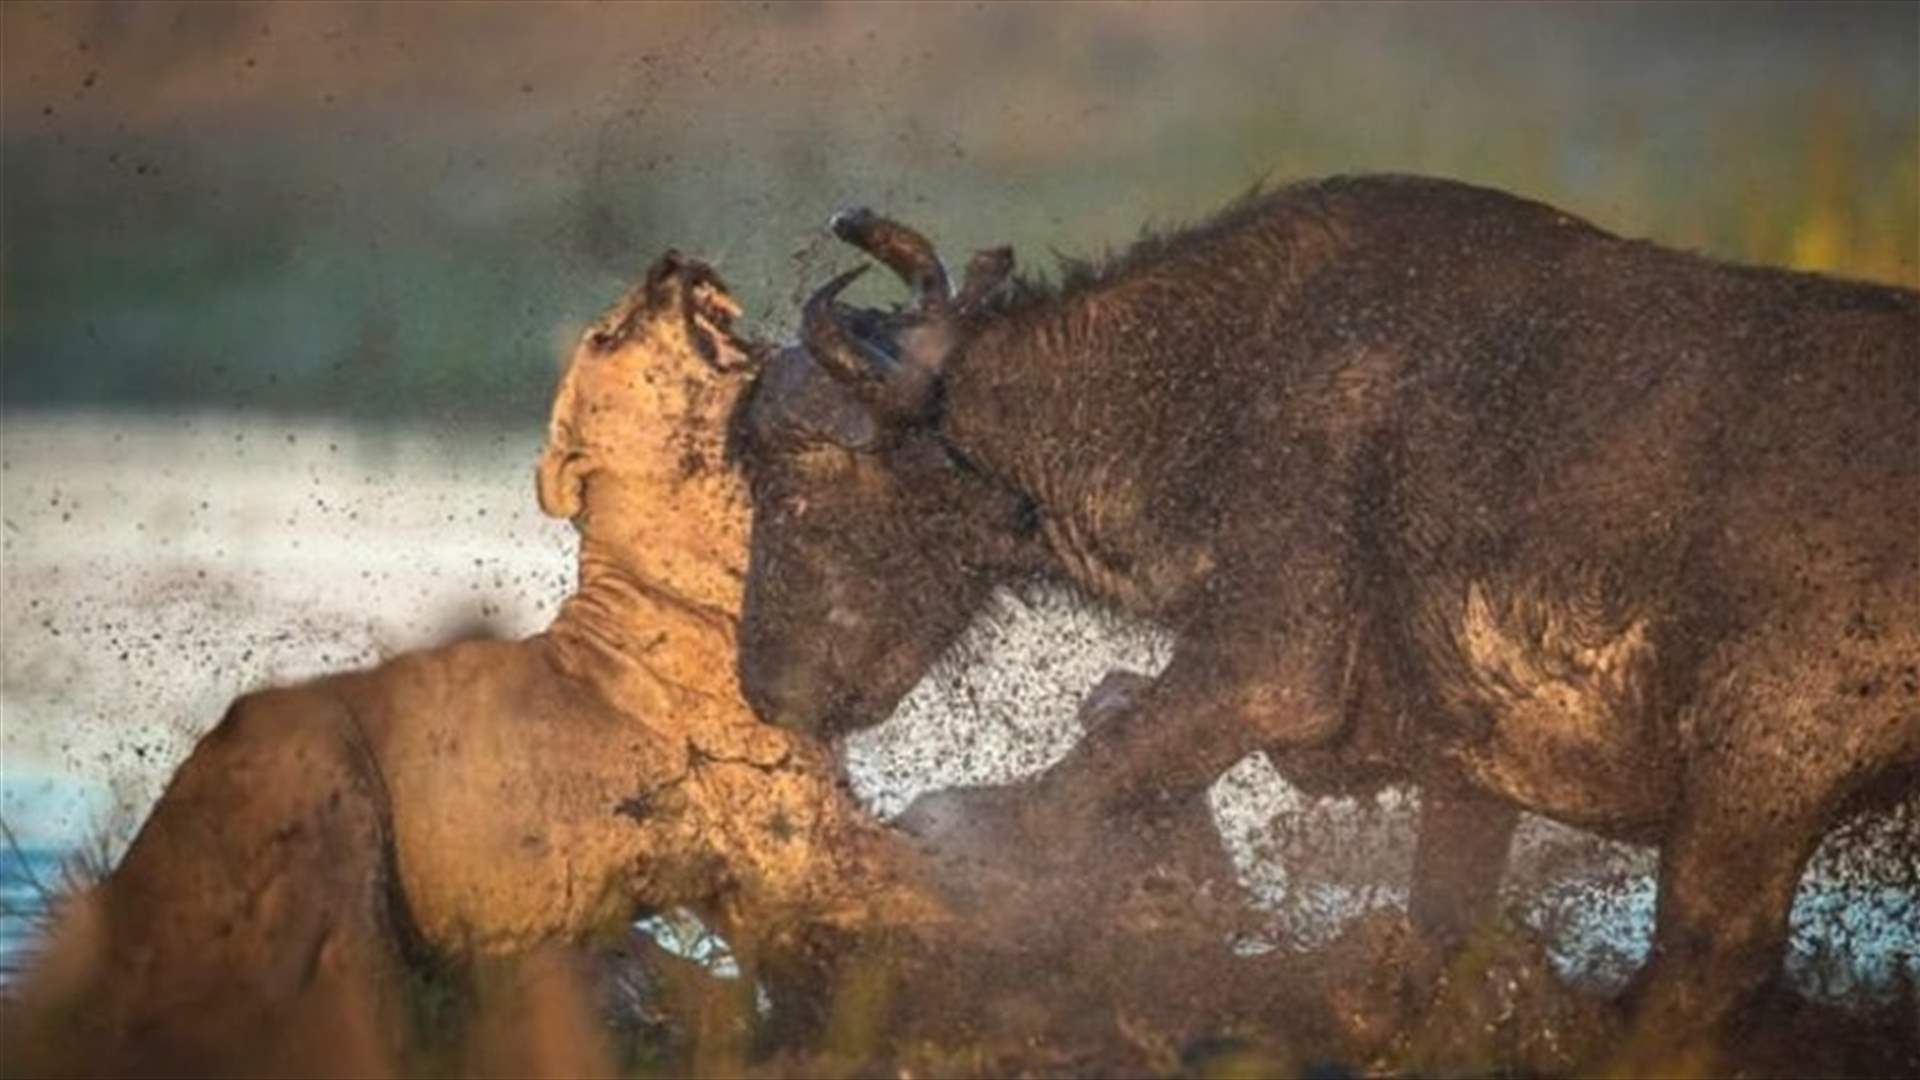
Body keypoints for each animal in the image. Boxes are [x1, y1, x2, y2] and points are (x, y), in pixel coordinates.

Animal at [730, 176, 1920, 1061]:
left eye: (793, 492)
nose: (765, 686)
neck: (1215, 384)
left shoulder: (1265, 665)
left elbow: (1081, 777)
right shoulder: (1470, 771)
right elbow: (1440, 925)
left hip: (1755, 782)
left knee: (1702, 972)